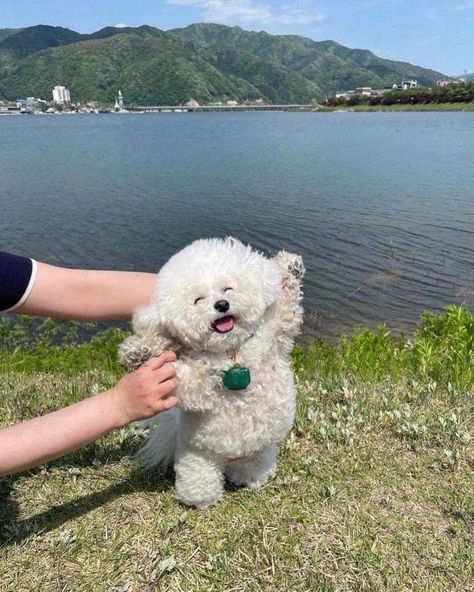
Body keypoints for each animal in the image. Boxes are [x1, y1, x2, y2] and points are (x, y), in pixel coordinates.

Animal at [119, 238, 304, 506]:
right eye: (199, 300)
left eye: (228, 289)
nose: (222, 305)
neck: (232, 352)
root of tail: (232, 459)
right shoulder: (197, 382)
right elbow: (182, 379)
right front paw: (139, 352)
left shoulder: (273, 334)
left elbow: (287, 306)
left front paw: (289, 268)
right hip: (198, 459)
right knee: (200, 480)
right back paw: (202, 500)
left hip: (261, 451)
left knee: (252, 466)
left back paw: (252, 479)